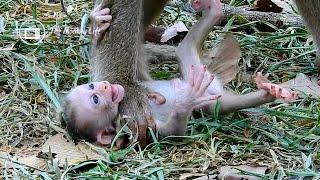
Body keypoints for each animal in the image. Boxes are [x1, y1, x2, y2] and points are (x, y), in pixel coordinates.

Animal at [62, 0, 298, 147]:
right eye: (95, 99)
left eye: (92, 87)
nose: (105, 86)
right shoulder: (139, 128)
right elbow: (173, 130)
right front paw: (183, 103)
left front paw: (98, 22)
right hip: (210, 92)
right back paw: (269, 93)